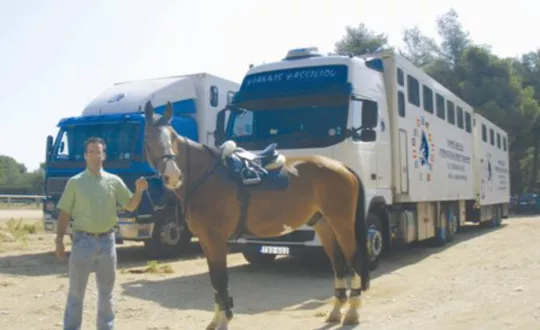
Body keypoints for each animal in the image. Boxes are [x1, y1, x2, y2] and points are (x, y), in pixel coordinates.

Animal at [143, 100, 372, 330]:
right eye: (148, 139)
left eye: (173, 137)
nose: (172, 175)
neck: (206, 177)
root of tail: (342, 167)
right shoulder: (206, 242)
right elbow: (215, 280)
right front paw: (216, 320)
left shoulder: (216, 240)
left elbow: (221, 280)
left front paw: (224, 320)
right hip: (324, 225)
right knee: (338, 264)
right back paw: (336, 311)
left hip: (342, 224)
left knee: (355, 261)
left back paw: (352, 313)